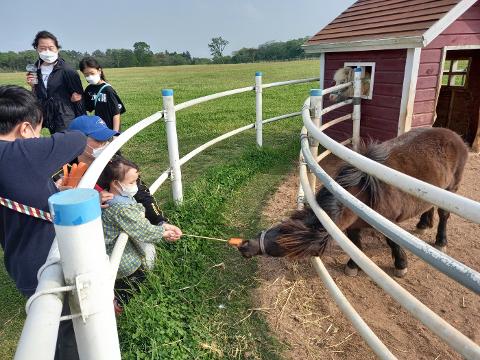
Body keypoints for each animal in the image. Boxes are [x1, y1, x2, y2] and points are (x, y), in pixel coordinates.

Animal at [236, 126, 468, 278]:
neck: (363, 196)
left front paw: (401, 265)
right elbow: (356, 245)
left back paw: (441, 240)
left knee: (444, 215)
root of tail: (453, 135)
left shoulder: (389, 223)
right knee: (429, 206)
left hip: (452, 188)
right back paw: (423, 223)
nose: (245, 246)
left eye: (282, 240)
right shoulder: (354, 226)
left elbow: (392, 242)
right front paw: (352, 266)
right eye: (279, 226)